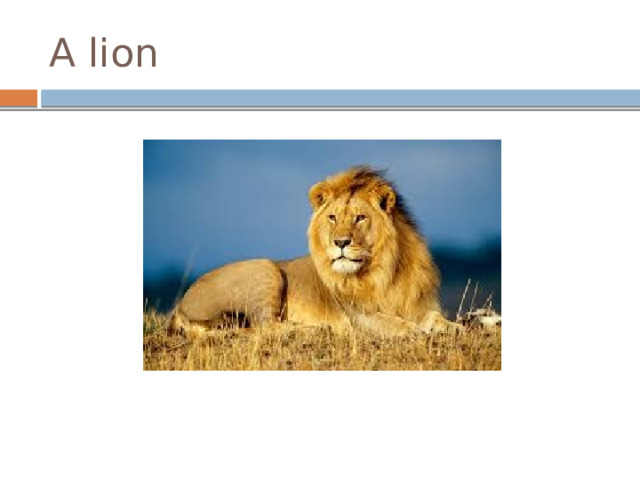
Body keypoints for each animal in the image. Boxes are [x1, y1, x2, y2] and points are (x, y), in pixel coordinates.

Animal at [168, 166, 461, 337]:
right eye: (332, 217)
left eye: (360, 218)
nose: (340, 242)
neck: (385, 270)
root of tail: (180, 305)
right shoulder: (359, 316)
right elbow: (393, 324)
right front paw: (415, 332)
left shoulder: (419, 304)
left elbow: (435, 317)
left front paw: (454, 328)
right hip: (265, 269)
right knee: (265, 327)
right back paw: (317, 328)